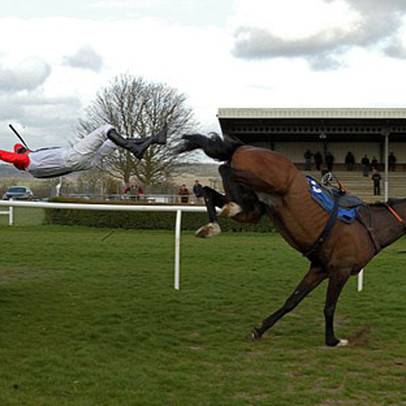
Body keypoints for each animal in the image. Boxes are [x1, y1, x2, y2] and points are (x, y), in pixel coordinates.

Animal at [179, 132, 404, 346]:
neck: (373, 225)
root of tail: (244, 146)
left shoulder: (319, 269)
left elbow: (292, 301)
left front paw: (260, 330)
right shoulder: (341, 270)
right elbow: (329, 307)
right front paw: (333, 340)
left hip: (253, 209)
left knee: (215, 193)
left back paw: (213, 223)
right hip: (270, 181)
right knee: (224, 170)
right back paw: (226, 208)